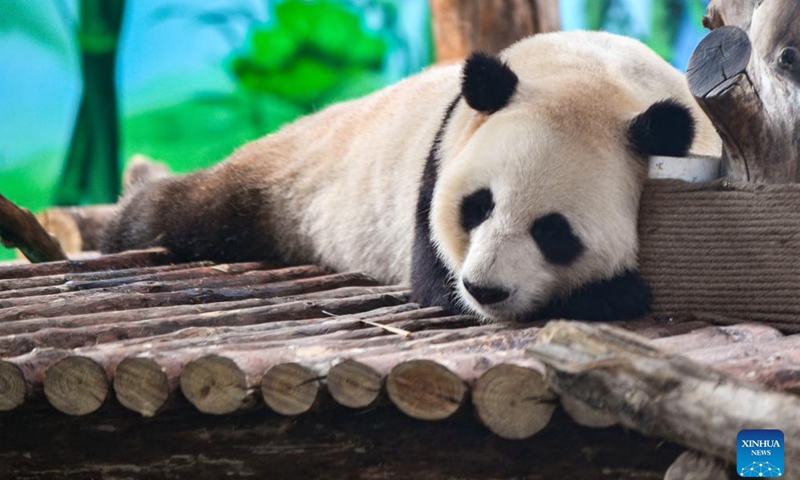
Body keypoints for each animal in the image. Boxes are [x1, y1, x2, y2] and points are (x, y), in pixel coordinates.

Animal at [101, 31, 720, 323]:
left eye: (553, 231)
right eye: (477, 206)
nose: (484, 289)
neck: (593, 71)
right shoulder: (442, 156)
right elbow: (433, 280)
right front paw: (615, 292)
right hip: (288, 179)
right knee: (188, 210)